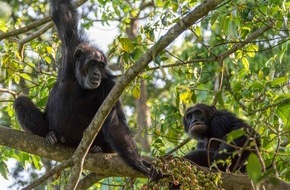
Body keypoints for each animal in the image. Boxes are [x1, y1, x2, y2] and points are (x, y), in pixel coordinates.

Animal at [13, 0, 151, 175]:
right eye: (92, 63)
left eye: (100, 65)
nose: (96, 73)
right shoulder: (71, 46)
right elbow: (64, 14)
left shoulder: (109, 87)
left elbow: (115, 122)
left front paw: (139, 164)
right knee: (21, 102)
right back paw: (51, 135)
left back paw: (97, 148)